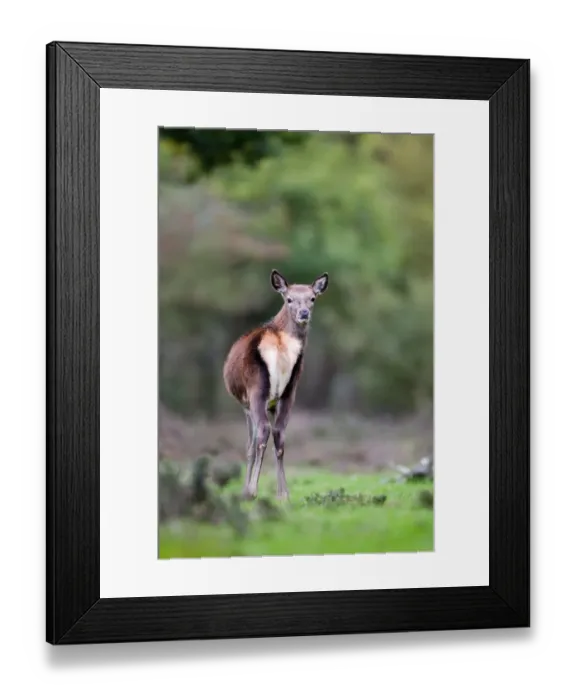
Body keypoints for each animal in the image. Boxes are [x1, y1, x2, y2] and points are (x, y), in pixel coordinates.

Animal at [223, 269, 329, 501]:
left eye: (312, 298)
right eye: (289, 299)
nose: (304, 313)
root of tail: (278, 344)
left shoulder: (245, 404)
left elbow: (249, 445)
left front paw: (245, 488)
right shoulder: (276, 400)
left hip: (257, 389)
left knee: (263, 432)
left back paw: (252, 491)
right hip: (290, 390)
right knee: (279, 434)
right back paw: (283, 494)